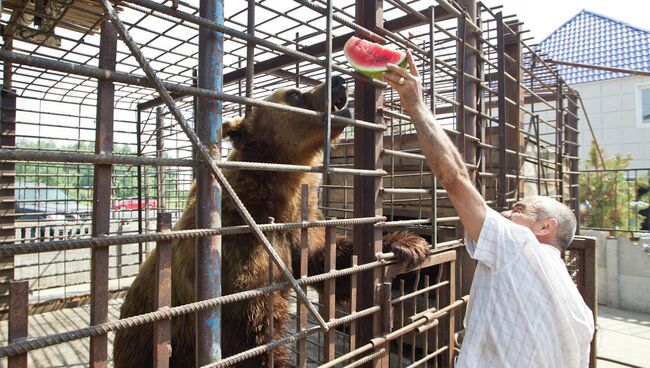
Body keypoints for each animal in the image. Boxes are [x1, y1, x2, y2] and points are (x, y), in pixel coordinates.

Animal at [114, 75, 428, 368]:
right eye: (294, 94)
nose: (338, 80)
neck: (273, 195)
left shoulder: (299, 229)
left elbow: (333, 263)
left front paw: (409, 244)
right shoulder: (241, 249)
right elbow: (256, 332)